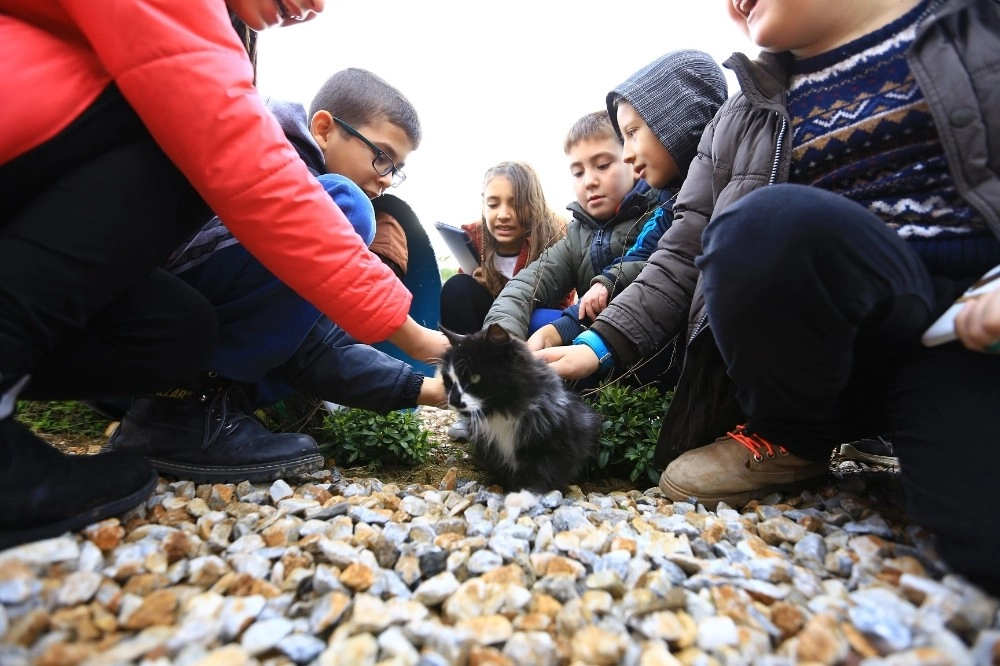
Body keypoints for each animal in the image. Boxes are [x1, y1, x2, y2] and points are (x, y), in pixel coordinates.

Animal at [440, 324, 600, 490]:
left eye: (474, 378)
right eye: (448, 380)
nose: (453, 399)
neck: (502, 414)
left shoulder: (553, 448)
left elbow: (541, 476)